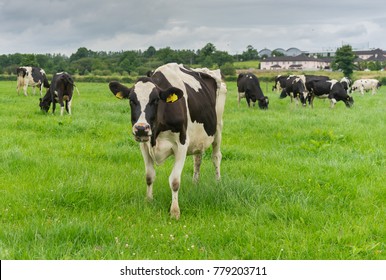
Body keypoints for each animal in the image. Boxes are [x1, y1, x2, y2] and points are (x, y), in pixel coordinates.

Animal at [108, 63, 226, 219]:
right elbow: (149, 176)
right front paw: (149, 201)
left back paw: (218, 183)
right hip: (198, 137)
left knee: (216, 157)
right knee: (197, 159)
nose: (141, 128)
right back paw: (195, 184)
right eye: (131, 101)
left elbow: (175, 181)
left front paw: (175, 211)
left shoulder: (182, 144)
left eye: (155, 100)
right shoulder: (144, 145)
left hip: (218, 128)